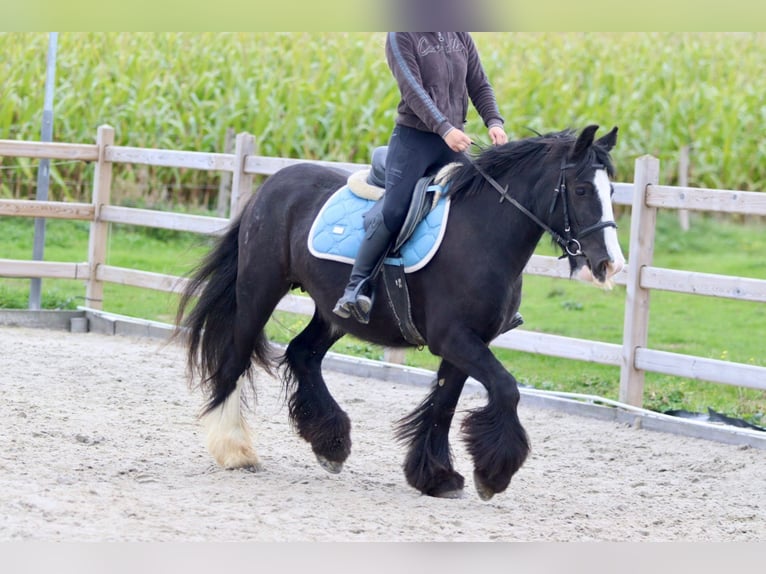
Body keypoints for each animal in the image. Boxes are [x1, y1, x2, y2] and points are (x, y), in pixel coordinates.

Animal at [177, 125, 628, 500]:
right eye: (582, 190)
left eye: (611, 192)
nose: (609, 265)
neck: (482, 234)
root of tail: (271, 186)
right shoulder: (455, 339)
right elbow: (505, 388)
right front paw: (492, 475)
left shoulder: (468, 342)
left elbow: (444, 404)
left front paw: (436, 477)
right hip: (259, 291)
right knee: (236, 359)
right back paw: (234, 449)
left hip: (334, 312)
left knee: (303, 354)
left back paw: (331, 445)